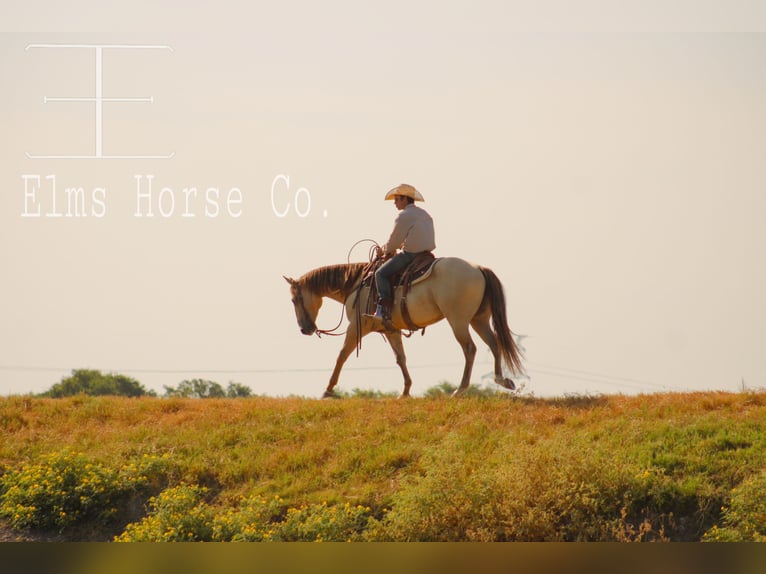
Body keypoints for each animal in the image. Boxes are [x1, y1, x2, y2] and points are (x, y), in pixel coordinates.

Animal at [283, 257, 524, 398]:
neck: (356, 283)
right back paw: (502, 380)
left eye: (294, 300)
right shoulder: (392, 330)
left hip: (458, 321)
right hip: (479, 319)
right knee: (494, 344)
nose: (305, 329)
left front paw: (328, 389)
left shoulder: (355, 327)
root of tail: (478, 269)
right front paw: (406, 390)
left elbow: (342, 355)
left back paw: (460, 389)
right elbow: (401, 358)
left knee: (470, 349)